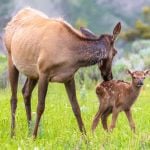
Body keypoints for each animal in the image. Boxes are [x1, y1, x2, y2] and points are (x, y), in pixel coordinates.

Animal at [4, 7, 121, 138]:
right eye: (115, 52)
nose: (109, 76)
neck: (71, 56)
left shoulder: (68, 77)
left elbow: (76, 107)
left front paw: (85, 138)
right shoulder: (44, 72)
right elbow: (40, 107)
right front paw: (34, 137)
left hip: (33, 72)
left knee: (26, 92)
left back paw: (28, 131)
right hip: (11, 58)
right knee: (13, 98)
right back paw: (13, 133)